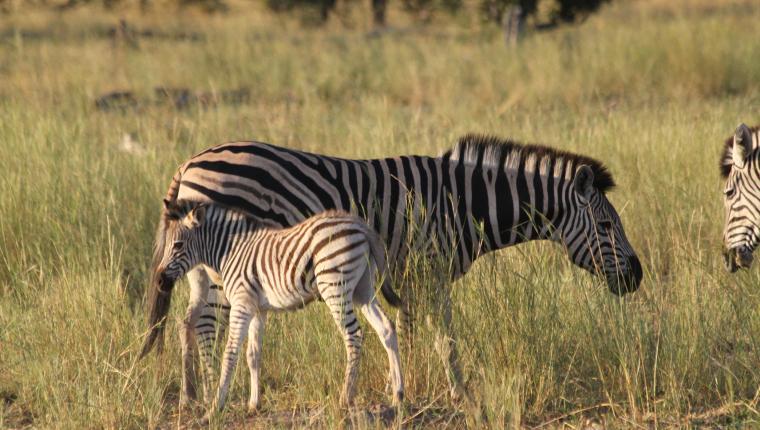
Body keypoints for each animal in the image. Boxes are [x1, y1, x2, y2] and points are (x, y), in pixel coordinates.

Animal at [142, 201, 404, 416]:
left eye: (178, 245)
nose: (159, 281)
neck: (230, 251)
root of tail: (360, 225)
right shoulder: (258, 309)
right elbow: (253, 354)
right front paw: (253, 404)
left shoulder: (242, 303)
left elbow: (230, 353)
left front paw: (216, 407)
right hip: (363, 289)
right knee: (387, 328)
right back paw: (398, 395)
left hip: (335, 287)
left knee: (354, 335)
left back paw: (345, 398)